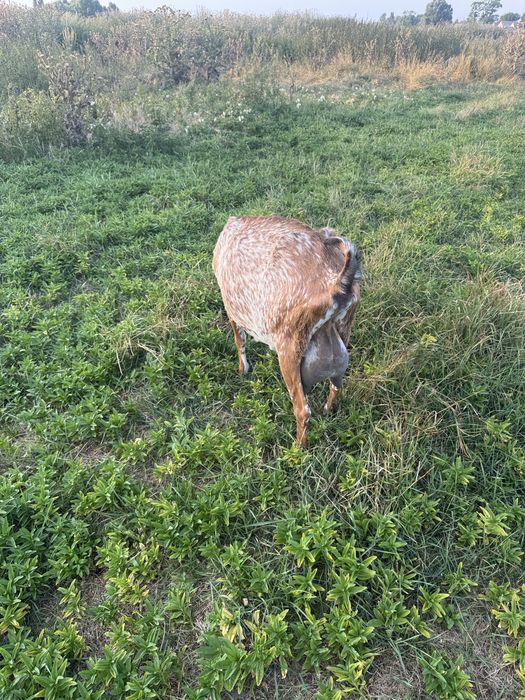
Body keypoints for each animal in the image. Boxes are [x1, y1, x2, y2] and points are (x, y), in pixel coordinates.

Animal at [212, 216, 361, 446]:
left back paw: (297, 448)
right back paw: (327, 411)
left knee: (303, 410)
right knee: (335, 386)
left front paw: (242, 370)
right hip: (343, 330)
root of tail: (337, 284)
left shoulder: (232, 310)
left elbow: (240, 341)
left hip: (289, 348)